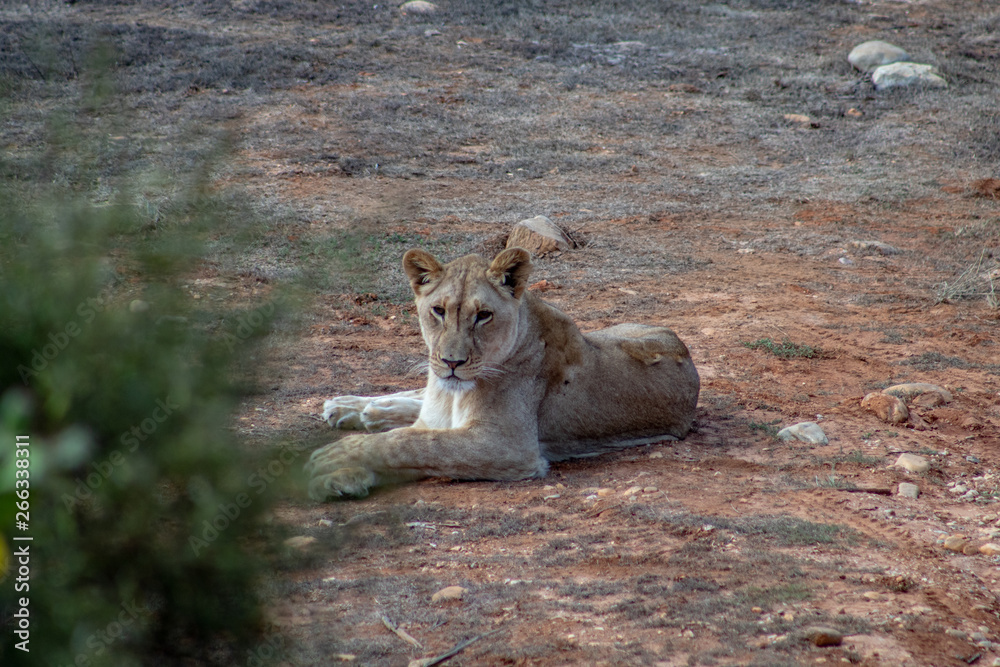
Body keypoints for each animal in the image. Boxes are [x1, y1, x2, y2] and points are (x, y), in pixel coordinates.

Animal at [307, 247, 699, 500]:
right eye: (438, 311)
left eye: (483, 316)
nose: (451, 362)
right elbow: (407, 440)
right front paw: (340, 472)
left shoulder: (509, 446)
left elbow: (411, 443)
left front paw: (333, 463)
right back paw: (351, 407)